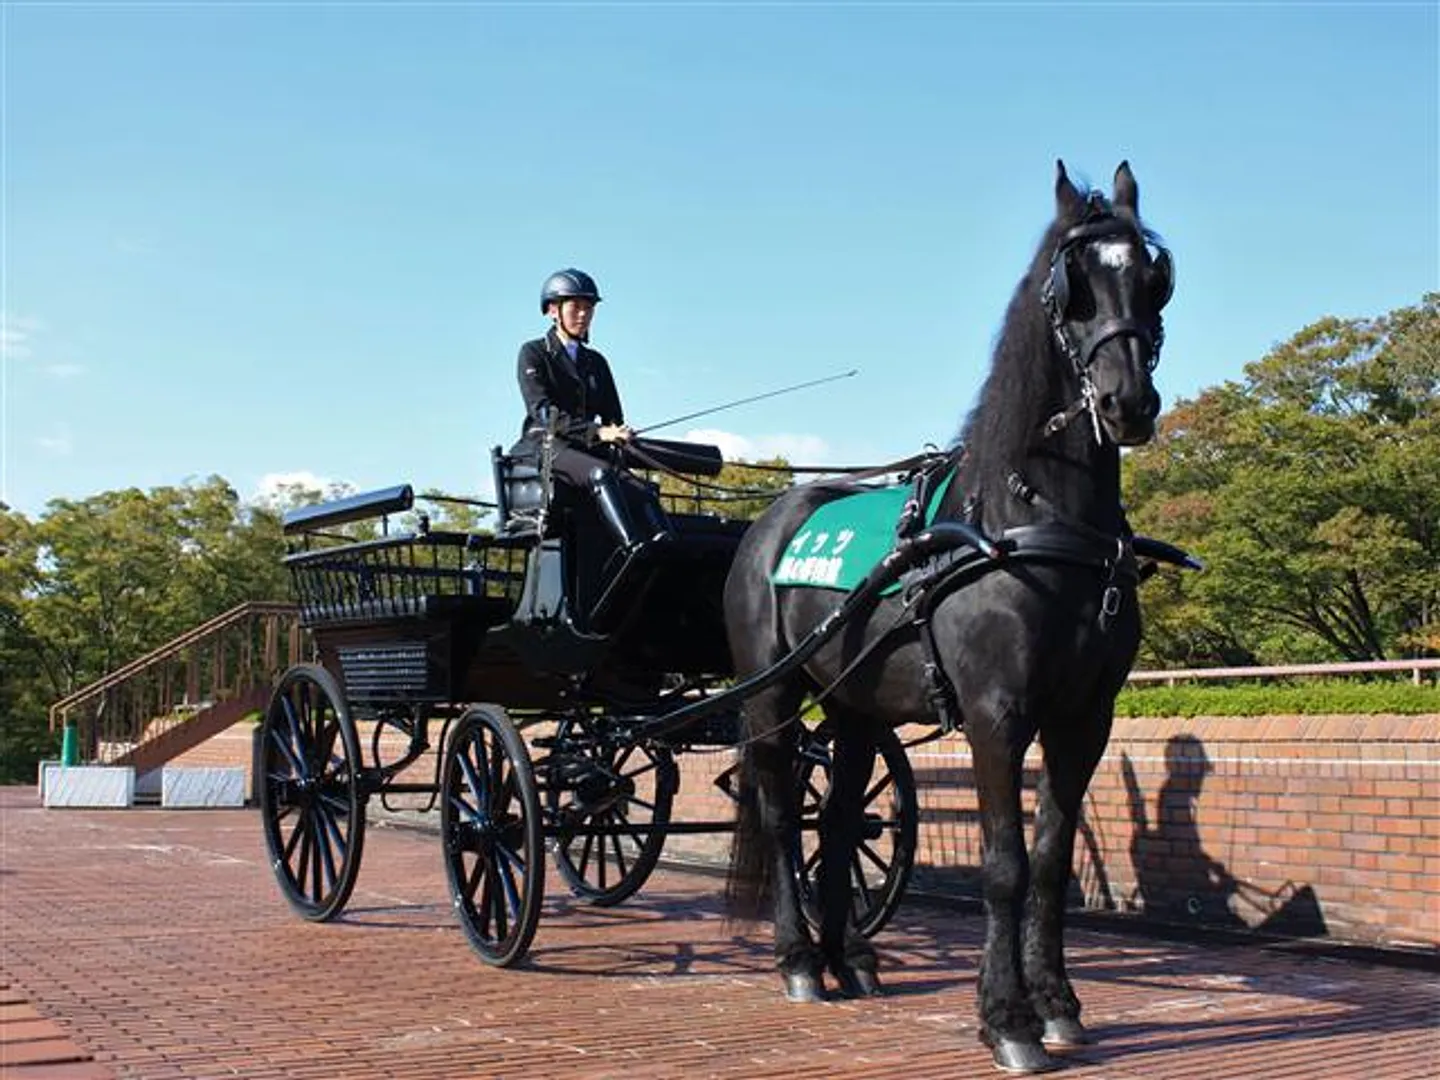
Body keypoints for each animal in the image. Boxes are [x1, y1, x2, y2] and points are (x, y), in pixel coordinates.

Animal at [723, 160, 1172, 1075]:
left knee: (840, 815)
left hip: (854, 704)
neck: (1031, 523)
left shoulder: (1085, 717)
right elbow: (1005, 865)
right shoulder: (999, 715)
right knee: (785, 816)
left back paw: (849, 956)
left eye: (1153, 278)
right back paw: (798, 960)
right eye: (1072, 286)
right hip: (770, 696)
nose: (1127, 403)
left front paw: (1058, 1003)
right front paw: (1007, 1018)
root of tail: (771, 514)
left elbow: (1049, 860)